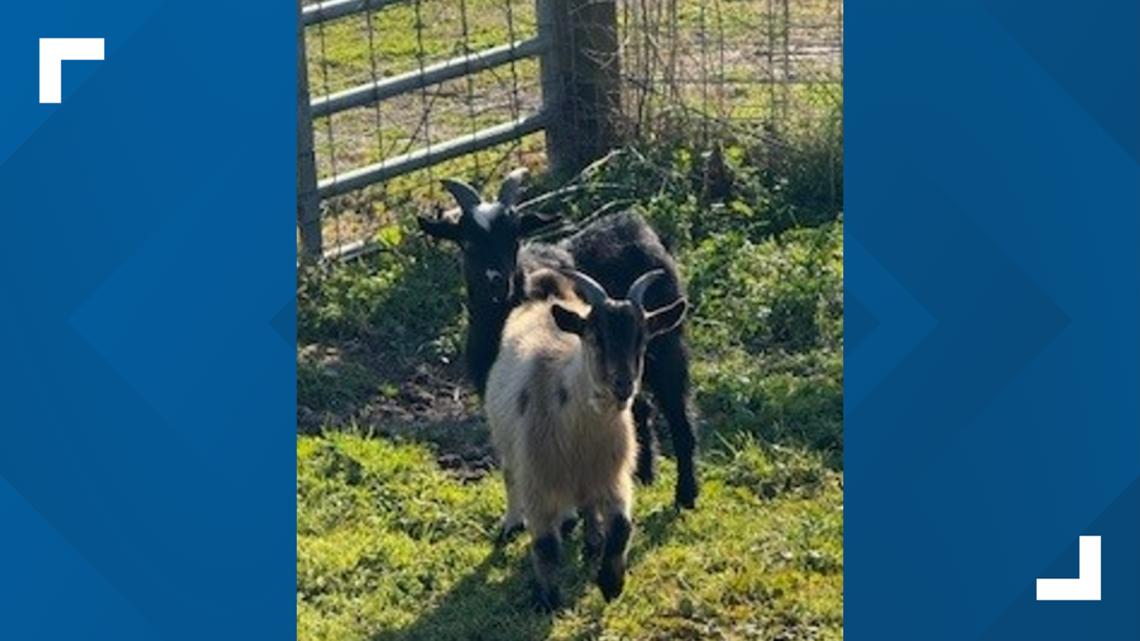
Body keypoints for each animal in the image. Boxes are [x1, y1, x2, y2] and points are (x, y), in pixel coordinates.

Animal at [418, 171, 701, 509]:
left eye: (514, 239)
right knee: (641, 408)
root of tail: (639, 225)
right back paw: (644, 474)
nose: (498, 282)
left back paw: (686, 494)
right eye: (468, 241)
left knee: (679, 415)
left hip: (665, 347)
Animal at [485, 268, 688, 608]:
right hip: (506, 441)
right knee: (510, 477)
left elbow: (621, 528)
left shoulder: (614, 478)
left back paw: (590, 538)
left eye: (642, 339)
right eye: (595, 337)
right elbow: (545, 546)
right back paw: (512, 524)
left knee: (587, 505)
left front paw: (611, 583)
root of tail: (547, 297)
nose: (623, 386)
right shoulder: (537, 482)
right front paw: (549, 601)